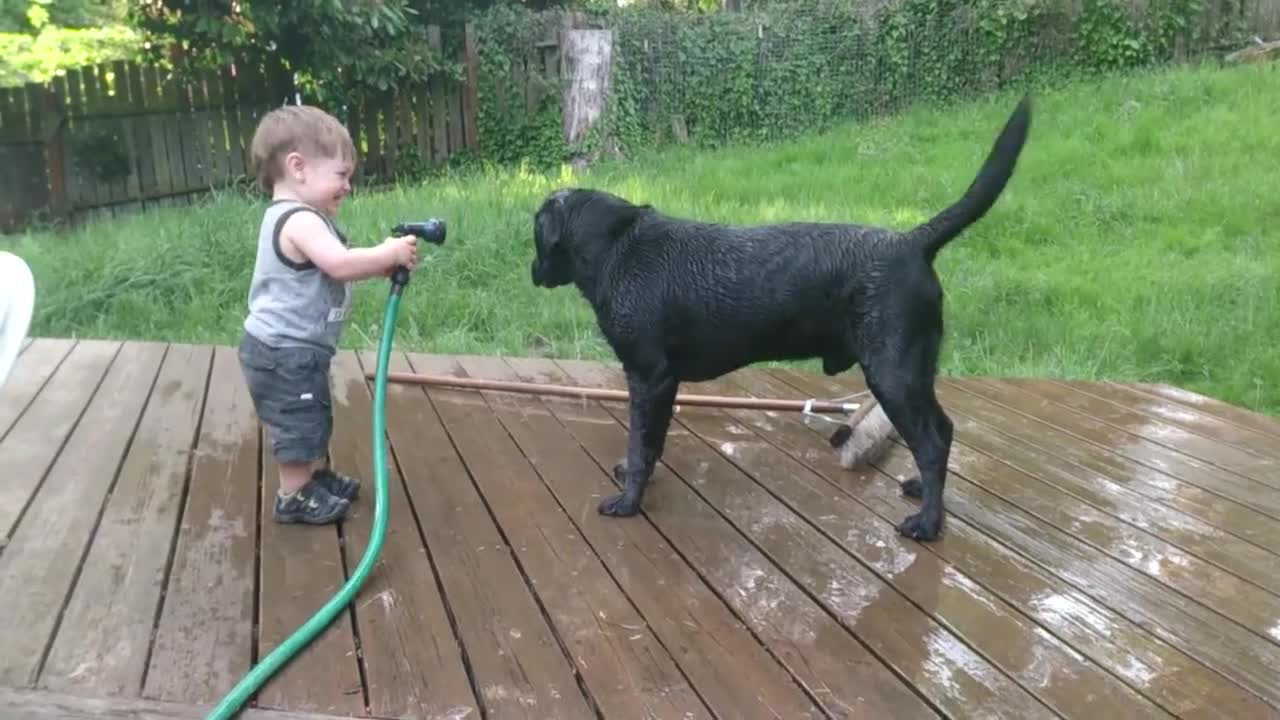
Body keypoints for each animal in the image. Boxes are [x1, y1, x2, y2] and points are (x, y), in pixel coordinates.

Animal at [527, 98, 1029, 540]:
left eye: (534, 229)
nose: (532, 270)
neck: (620, 246)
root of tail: (913, 242)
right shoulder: (658, 384)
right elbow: (651, 443)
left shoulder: (650, 377)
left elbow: (641, 442)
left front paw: (629, 500)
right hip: (914, 374)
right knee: (942, 432)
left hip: (894, 375)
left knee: (931, 441)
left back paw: (927, 523)